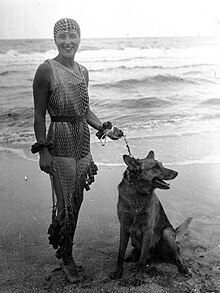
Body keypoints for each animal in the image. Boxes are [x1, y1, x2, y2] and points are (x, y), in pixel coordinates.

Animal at [109, 151, 192, 286]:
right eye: (156, 167)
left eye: (161, 164)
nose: (176, 172)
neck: (138, 193)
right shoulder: (124, 227)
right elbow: (120, 253)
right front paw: (118, 271)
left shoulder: (148, 230)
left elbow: (142, 260)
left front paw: (138, 277)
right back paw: (132, 255)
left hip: (167, 233)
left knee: (177, 256)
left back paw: (183, 267)